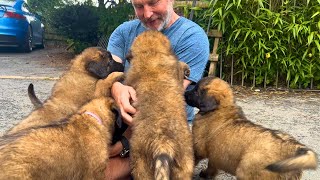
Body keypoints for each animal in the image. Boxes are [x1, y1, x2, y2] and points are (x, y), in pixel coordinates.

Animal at [184, 76, 318, 179]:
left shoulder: (198, 147)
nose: (184, 93)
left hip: (247, 171)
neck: (221, 108)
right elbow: (212, 165)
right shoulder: (215, 153)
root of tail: (294, 147)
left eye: (196, 91)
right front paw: (207, 174)